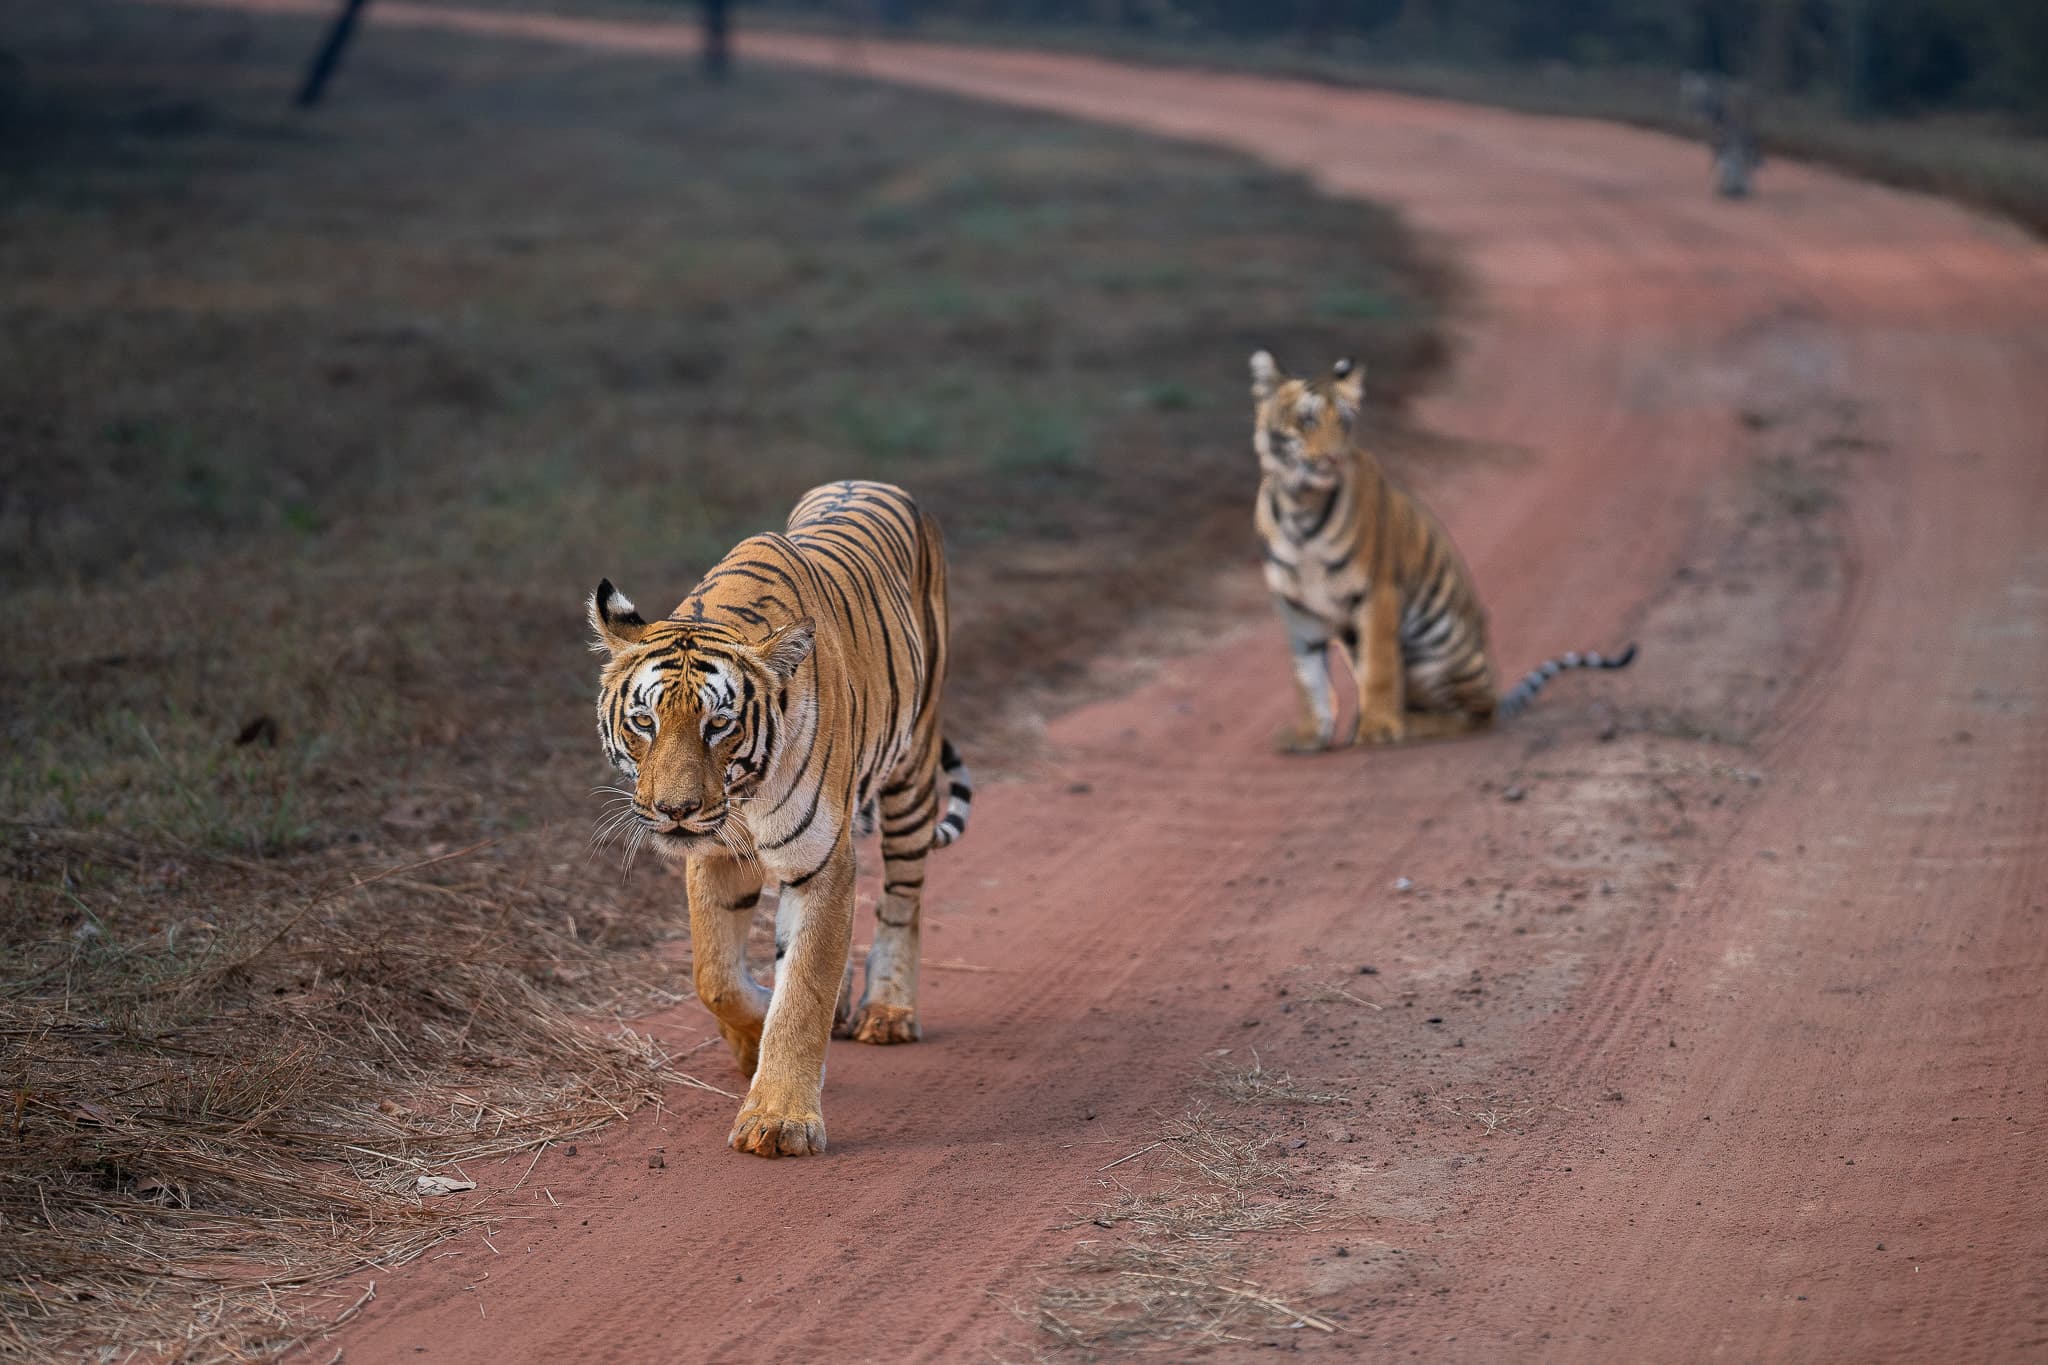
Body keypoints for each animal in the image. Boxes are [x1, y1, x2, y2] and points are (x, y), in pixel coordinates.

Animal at [588, 480, 972, 1158]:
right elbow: (715, 975)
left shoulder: (821, 864)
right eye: (644, 722)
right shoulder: (715, 853)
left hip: (914, 764)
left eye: (719, 724)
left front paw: (780, 1121)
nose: (675, 811)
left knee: (904, 896)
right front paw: (749, 1045)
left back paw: (888, 1010)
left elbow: (804, 993)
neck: (742, 793)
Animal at [1249, 350, 1635, 751]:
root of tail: (1495, 690)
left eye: (1345, 422)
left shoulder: (1377, 593)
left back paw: (1408, 722)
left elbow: (1378, 668)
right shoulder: (1297, 608)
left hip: (1435, 650)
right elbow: (1308, 678)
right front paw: (1310, 735)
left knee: (1475, 713)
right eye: (1307, 419)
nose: (1334, 458)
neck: (1299, 507)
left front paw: (1379, 729)